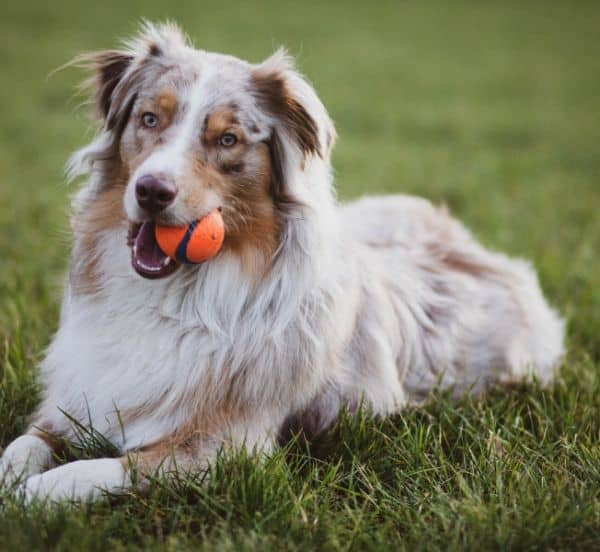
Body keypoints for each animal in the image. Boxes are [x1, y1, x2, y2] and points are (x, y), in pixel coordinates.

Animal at [0, 23, 564, 502]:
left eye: (227, 139)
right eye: (149, 119)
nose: (152, 191)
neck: (176, 295)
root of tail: (475, 247)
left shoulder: (224, 447)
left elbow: (104, 468)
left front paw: (34, 494)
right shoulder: (76, 400)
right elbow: (23, 443)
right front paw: (14, 474)